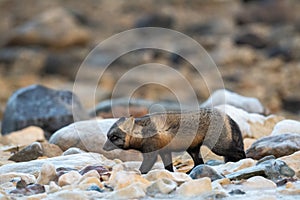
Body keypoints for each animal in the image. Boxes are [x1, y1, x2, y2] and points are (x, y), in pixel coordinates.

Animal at [103, 108, 246, 173]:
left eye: (114, 137)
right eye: (108, 137)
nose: (103, 148)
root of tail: (225, 115)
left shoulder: (151, 155)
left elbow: (143, 168)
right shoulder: (165, 152)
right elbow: (169, 168)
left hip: (219, 147)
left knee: (240, 153)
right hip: (193, 150)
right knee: (199, 163)